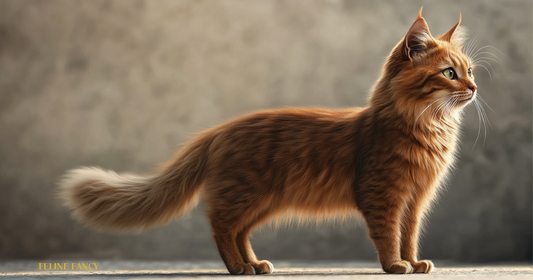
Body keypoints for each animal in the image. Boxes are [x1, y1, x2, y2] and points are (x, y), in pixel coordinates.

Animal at [59, 8, 478, 276]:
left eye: (470, 72)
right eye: (449, 73)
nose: (474, 88)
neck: (427, 128)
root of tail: (219, 130)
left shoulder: (416, 201)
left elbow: (409, 236)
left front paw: (415, 262)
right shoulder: (383, 195)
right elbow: (388, 236)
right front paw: (394, 266)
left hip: (263, 201)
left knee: (238, 230)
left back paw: (253, 264)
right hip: (247, 194)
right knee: (220, 224)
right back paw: (237, 267)